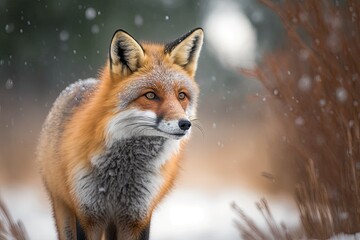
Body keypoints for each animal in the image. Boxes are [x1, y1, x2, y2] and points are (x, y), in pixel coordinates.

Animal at [38, 28, 204, 240]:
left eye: (181, 95)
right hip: (64, 211)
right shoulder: (87, 214)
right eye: (151, 95)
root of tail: (78, 84)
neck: (122, 175)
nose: (185, 124)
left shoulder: (137, 217)